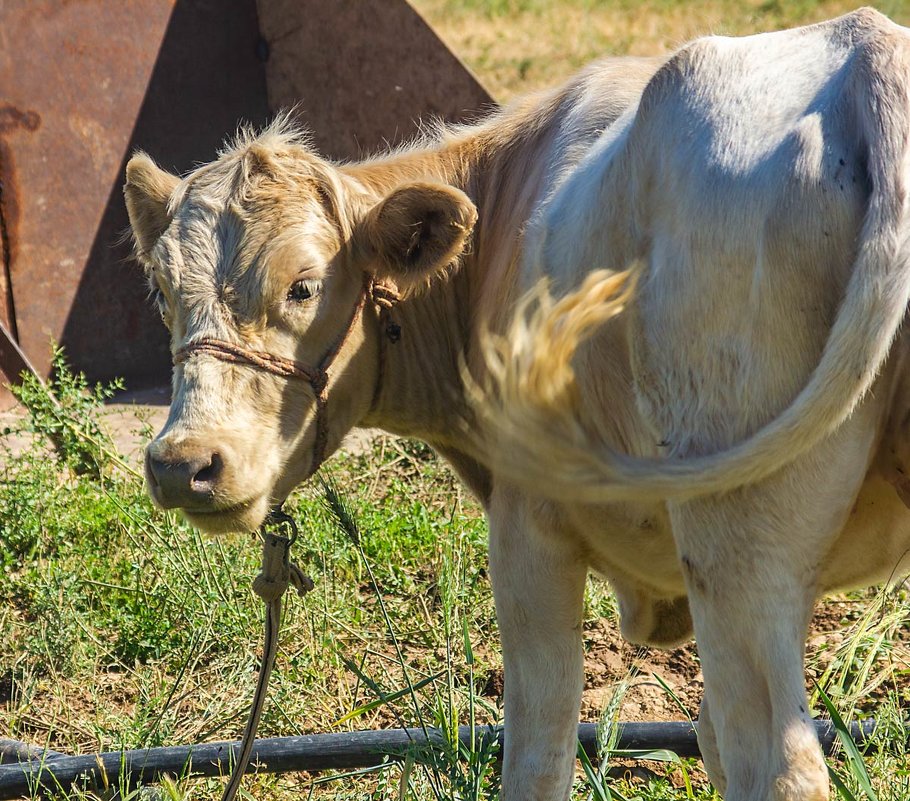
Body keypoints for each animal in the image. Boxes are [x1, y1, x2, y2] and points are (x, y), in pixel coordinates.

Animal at [126, 7, 910, 800]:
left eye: (303, 287)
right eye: (159, 291)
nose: (181, 463)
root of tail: (863, 45)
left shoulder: (528, 531)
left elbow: (538, 755)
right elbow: (708, 739)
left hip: (734, 545)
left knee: (780, 767)